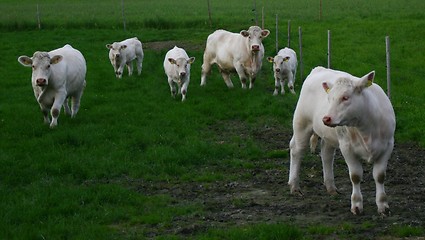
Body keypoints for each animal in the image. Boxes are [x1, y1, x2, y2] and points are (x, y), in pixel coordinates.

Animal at [286, 66, 396, 216]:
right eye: (329, 98)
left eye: (345, 97)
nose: (326, 118)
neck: (366, 128)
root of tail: (319, 69)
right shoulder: (347, 147)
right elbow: (355, 176)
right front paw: (356, 205)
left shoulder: (388, 146)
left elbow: (380, 176)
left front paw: (383, 206)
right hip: (301, 124)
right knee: (297, 150)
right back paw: (294, 186)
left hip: (328, 136)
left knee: (326, 155)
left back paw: (331, 187)